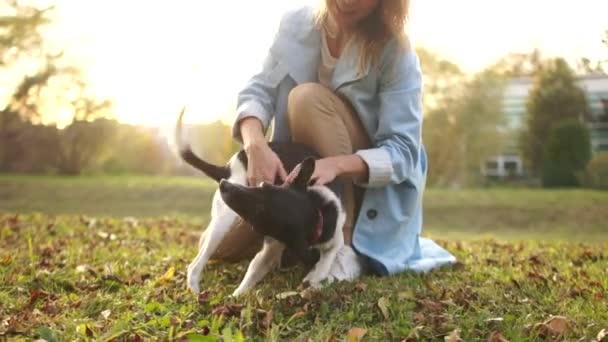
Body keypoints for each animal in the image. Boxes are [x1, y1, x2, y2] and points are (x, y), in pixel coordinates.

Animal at [176, 110, 346, 296]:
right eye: (263, 184)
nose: (224, 185)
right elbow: (252, 274)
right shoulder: (270, 247)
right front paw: (235, 297)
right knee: (195, 264)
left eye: (260, 212)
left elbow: (326, 260)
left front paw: (315, 278)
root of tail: (227, 169)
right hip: (223, 222)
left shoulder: (335, 235)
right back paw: (195, 290)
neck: (316, 211)